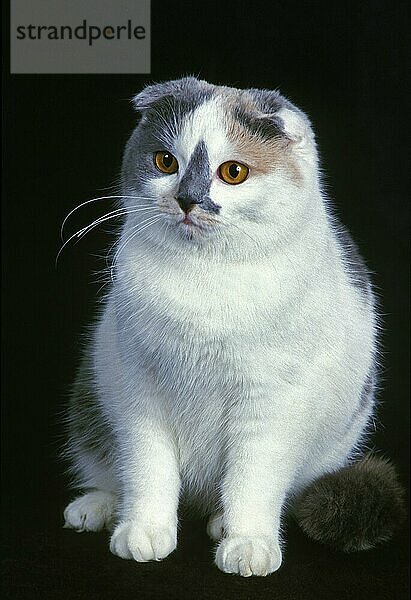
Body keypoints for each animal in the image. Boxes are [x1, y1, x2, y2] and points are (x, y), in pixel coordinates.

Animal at [63, 76, 406, 576]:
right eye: (165, 161)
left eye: (234, 172)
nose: (186, 199)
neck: (205, 282)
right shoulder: (139, 389)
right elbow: (148, 467)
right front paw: (144, 530)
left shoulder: (271, 402)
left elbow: (252, 477)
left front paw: (248, 543)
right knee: (112, 468)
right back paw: (96, 508)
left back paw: (223, 523)